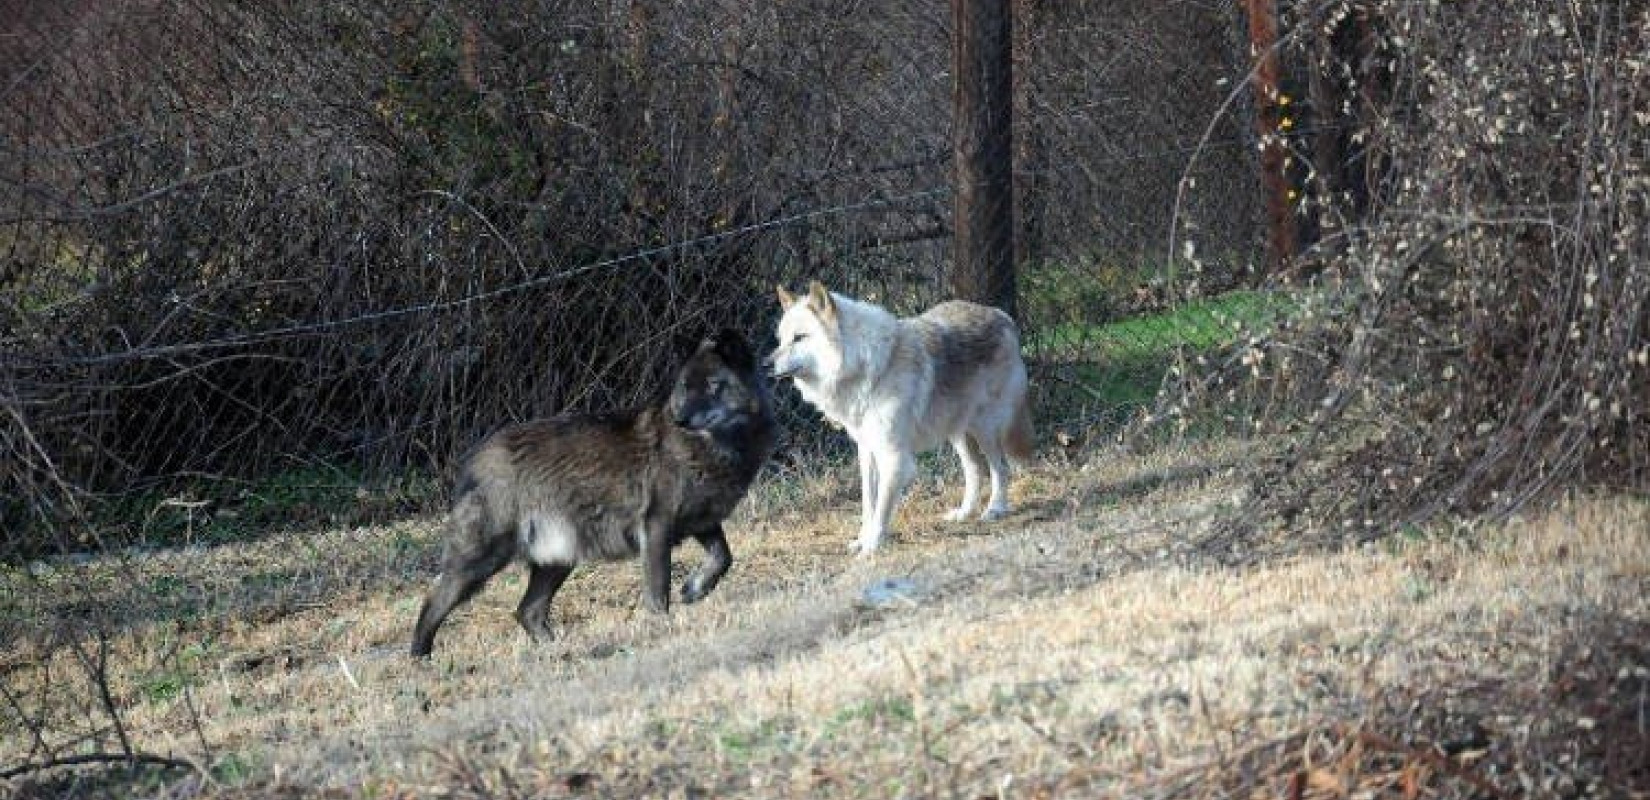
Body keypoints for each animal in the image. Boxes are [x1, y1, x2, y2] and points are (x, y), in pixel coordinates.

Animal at [762, 282, 1023, 554]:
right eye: (781, 340)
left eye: (799, 337)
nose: (765, 364)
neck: (868, 367)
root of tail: (1001, 314)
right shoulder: (867, 449)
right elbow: (869, 504)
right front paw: (861, 540)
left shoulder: (893, 457)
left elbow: (882, 508)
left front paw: (872, 547)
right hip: (957, 433)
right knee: (975, 469)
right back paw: (963, 513)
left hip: (984, 429)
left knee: (1000, 467)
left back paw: (995, 509)